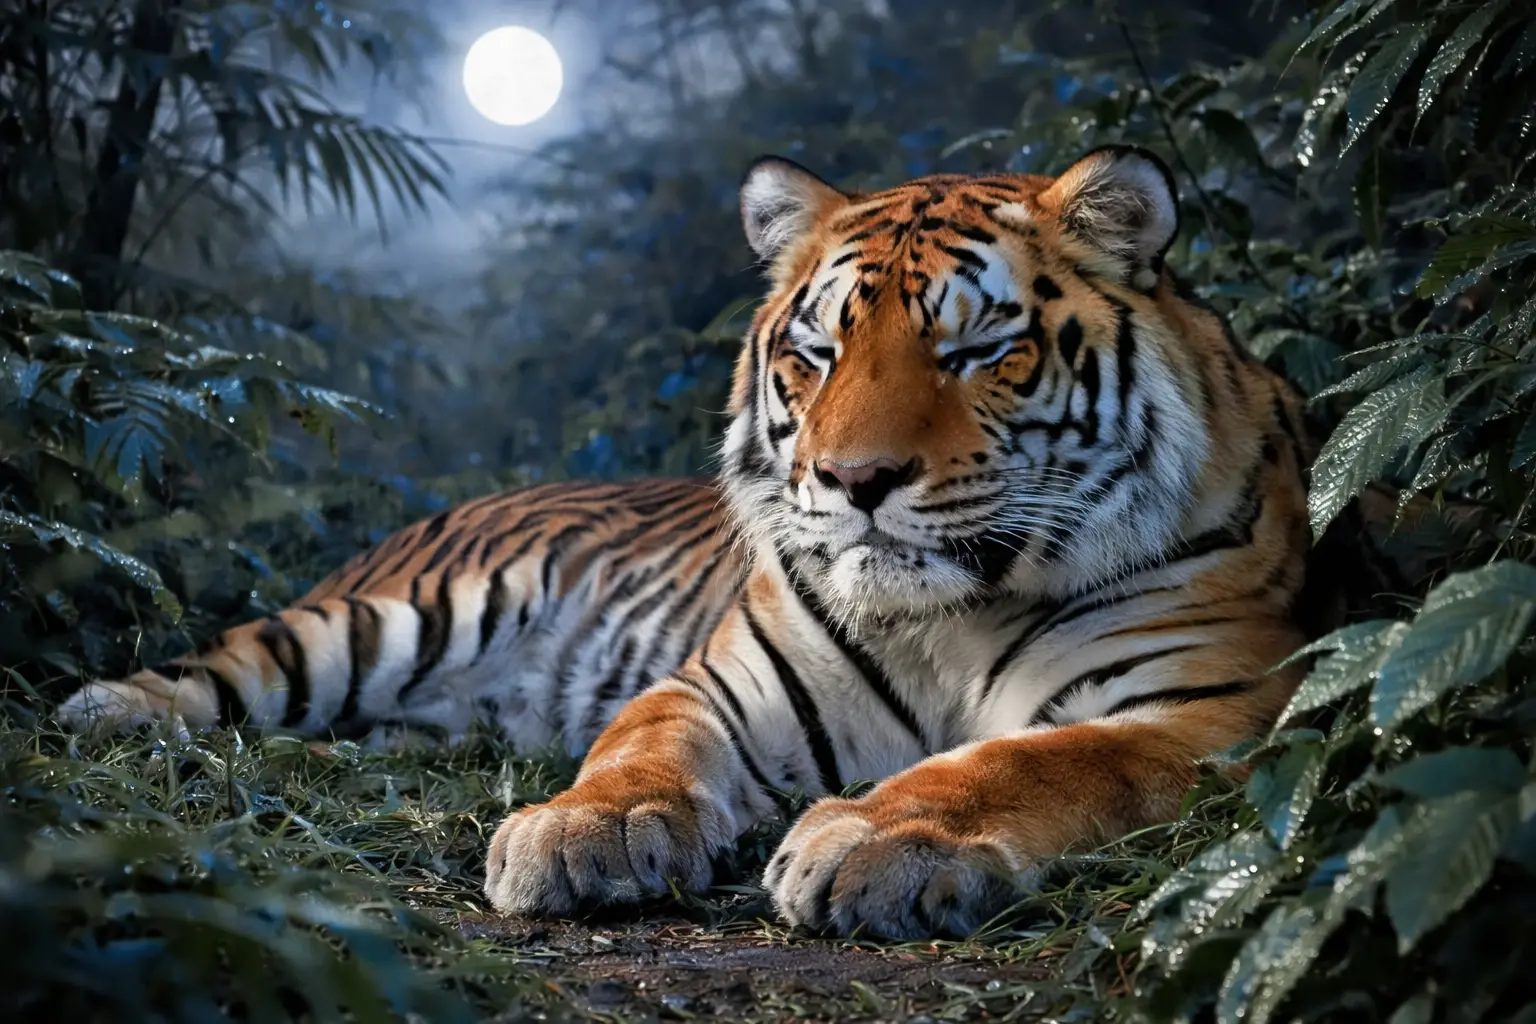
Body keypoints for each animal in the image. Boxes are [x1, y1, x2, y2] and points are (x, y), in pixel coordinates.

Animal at [61, 144, 1316, 941]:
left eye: (976, 354)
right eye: (815, 354)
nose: (856, 480)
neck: (944, 622)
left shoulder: (1213, 703)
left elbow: (1036, 758)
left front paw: (877, 838)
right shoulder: (719, 683)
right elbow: (637, 747)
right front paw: (587, 831)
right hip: (385, 619)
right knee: (228, 665)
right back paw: (104, 716)